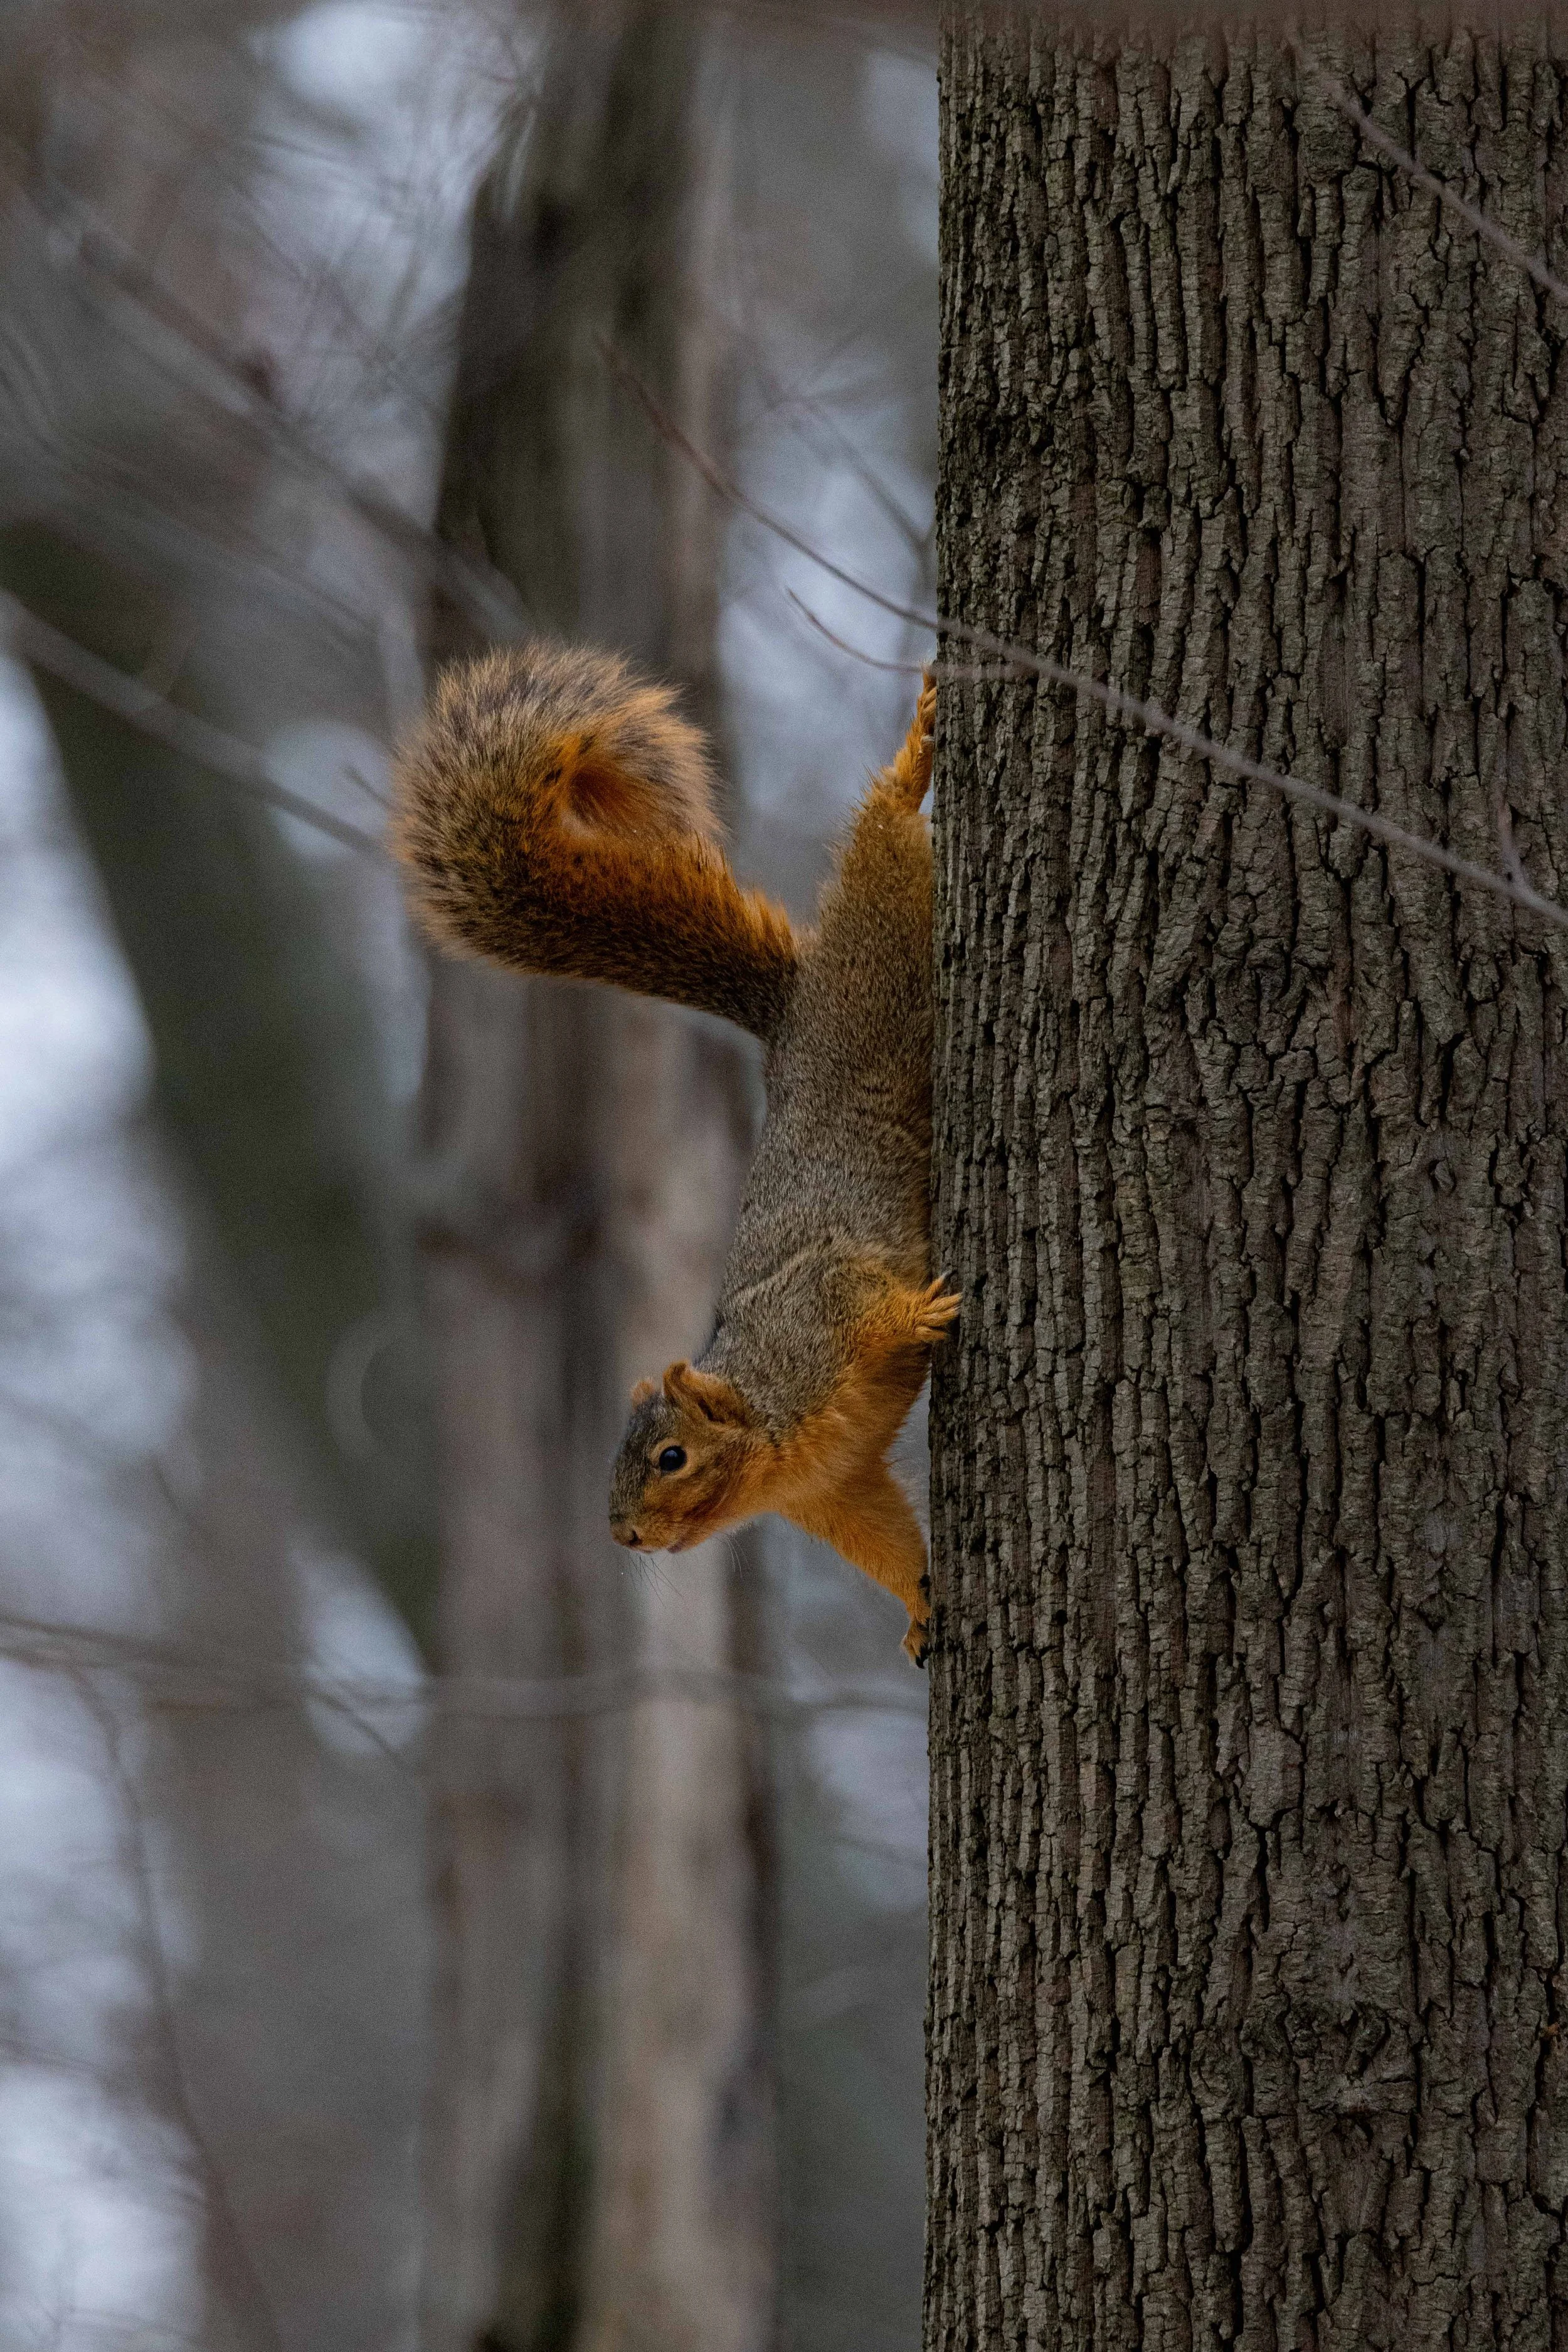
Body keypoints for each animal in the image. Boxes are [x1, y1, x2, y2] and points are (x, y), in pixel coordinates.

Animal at [394, 639, 954, 1664]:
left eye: (670, 1456)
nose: (623, 1536)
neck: (771, 1433)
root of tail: (793, 1015)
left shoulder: (820, 1316)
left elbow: (869, 1297)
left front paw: (920, 1312)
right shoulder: (836, 1488)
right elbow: (885, 1535)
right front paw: (918, 1607)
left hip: (882, 944)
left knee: (885, 842)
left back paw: (911, 760)